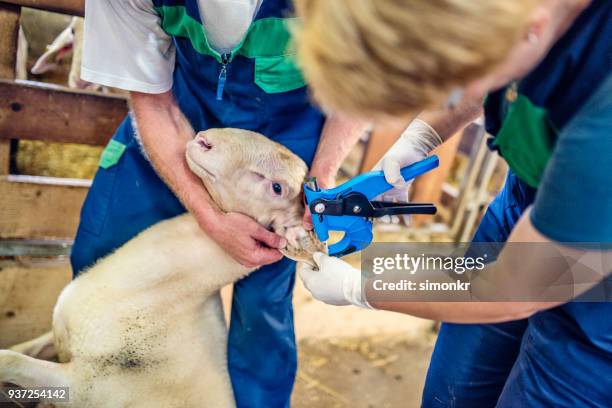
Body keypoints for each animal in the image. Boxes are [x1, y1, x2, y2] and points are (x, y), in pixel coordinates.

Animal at [0, 128, 322, 408]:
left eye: (277, 187)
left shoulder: (83, 385)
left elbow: (8, 360)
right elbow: (18, 349)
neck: (158, 299)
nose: (205, 140)